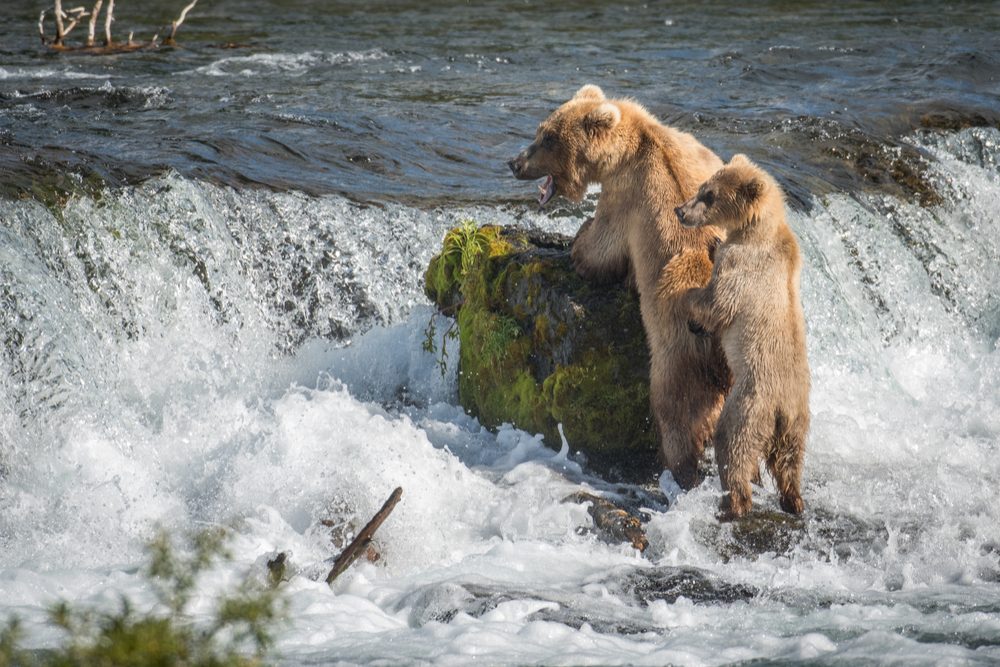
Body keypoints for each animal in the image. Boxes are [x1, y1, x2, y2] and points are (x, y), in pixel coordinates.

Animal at [512, 86, 732, 488]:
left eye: (547, 137)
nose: (514, 162)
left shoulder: (626, 197)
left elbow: (601, 247)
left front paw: (574, 245)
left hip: (680, 354)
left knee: (678, 416)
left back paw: (680, 473)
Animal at [672, 155, 812, 516]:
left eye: (709, 196)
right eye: (701, 187)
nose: (680, 211)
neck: (755, 230)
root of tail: (780, 410)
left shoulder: (743, 266)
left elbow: (718, 302)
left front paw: (690, 300)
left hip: (748, 406)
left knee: (732, 447)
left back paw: (734, 502)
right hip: (797, 422)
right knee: (790, 461)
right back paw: (793, 499)